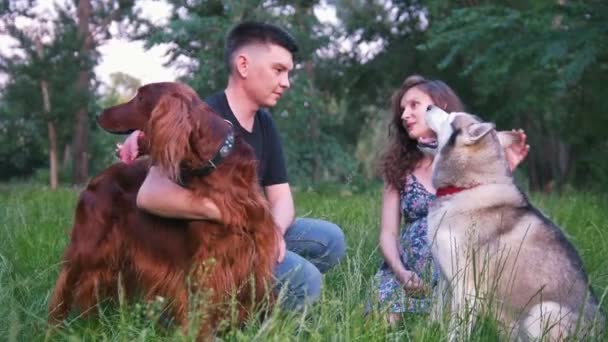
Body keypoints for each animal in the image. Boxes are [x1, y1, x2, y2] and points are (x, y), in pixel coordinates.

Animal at [50, 83, 278, 336]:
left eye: (140, 98)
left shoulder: (253, 259)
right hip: (88, 249)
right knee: (63, 288)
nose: (98, 114)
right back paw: (52, 329)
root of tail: (95, 180)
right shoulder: (205, 267)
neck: (215, 162)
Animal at [422, 105, 604, 340]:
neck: (467, 187)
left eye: (450, 117)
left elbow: (458, 328)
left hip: (543, 310)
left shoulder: (467, 284)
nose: (428, 106)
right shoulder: (445, 278)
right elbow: (436, 314)